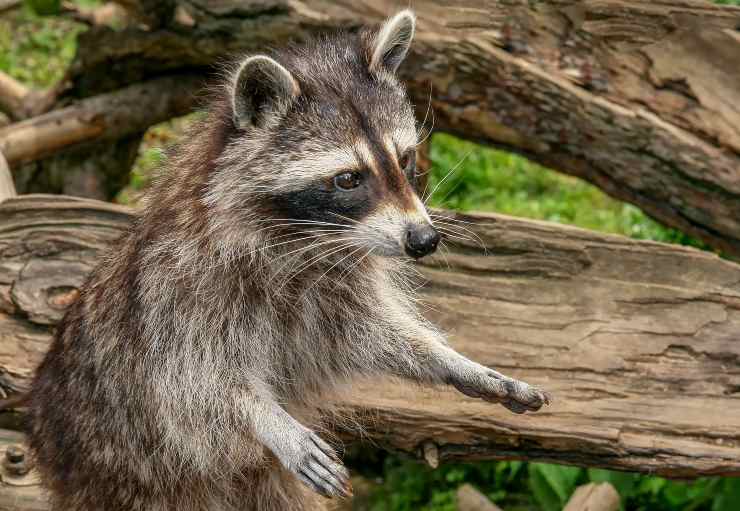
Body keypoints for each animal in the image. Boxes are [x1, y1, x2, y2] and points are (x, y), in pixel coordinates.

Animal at [27, 9, 548, 511]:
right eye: (348, 178)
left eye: (404, 160)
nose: (424, 240)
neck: (306, 242)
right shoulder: (180, 294)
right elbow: (194, 386)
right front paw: (266, 418)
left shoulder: (334, 296)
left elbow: (373, 337)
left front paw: (447, 358)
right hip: (119, 476)